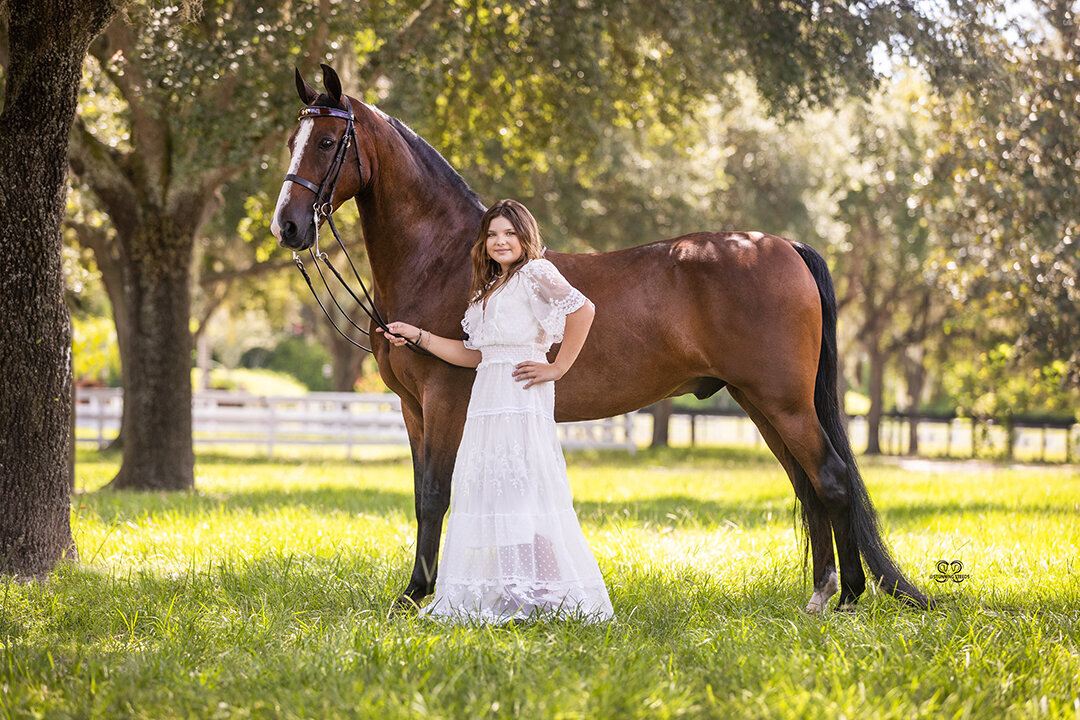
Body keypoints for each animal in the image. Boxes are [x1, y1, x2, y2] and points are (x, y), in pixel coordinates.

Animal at [270, 64, 928, 613]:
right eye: (292, 140)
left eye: (326, 142)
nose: (288, 226)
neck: (447, 260)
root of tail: (782, 244)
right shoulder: (412, 408)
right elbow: (419, 496)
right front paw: (419, 592)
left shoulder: (444, 402)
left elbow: (435, 494)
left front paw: (415, 598)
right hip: (762, 404)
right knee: (809, 486)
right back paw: (820, 595)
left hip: (783, 402)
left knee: (832, 480)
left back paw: (848, 599)